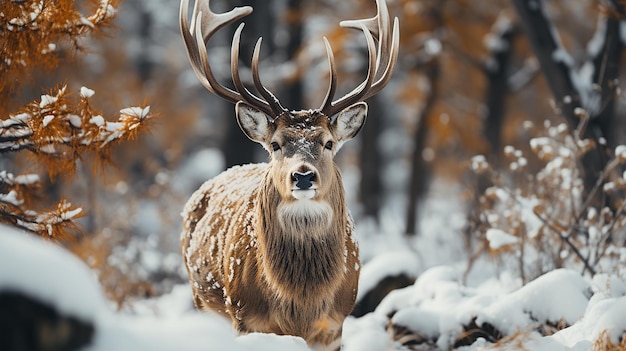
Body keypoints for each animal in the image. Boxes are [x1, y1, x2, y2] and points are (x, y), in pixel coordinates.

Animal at [178, 0, 398, 350]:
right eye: (276, 144)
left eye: (329, 142)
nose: (303, 176)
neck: (302, 303)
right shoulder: (246, 318)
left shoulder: (334, 325)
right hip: (201, 299)